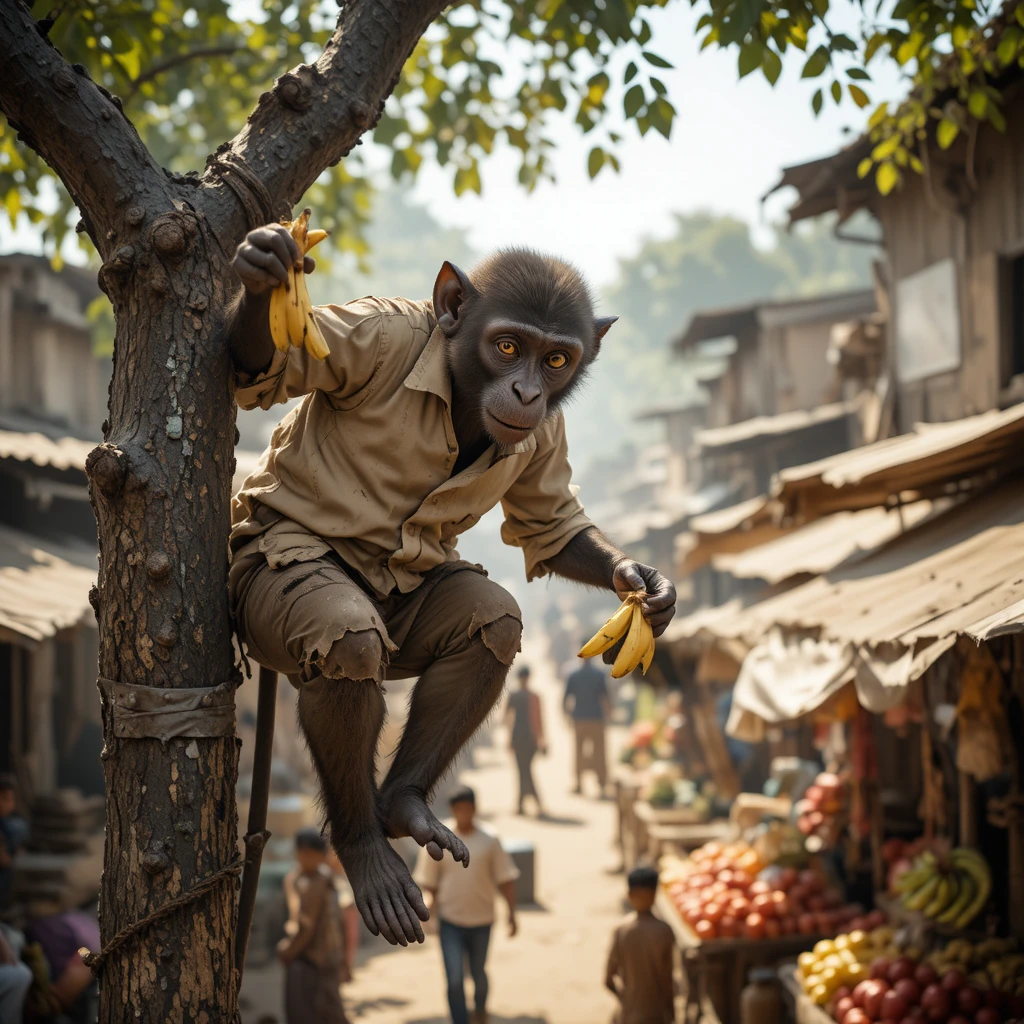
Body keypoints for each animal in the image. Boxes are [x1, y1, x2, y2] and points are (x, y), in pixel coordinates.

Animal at [226, 223, 677, 947]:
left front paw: (643, 586)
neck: (460, 391)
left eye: (556, 360)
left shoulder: (547, 432)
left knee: (492, 625)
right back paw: (366, 851)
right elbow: (262, 372)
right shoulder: (371, 335)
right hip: (265, 603)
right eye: (508, 346)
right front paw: (264, 265)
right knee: (349, 642)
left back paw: (403, 807)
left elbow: (550, 522)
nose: (526, 393)